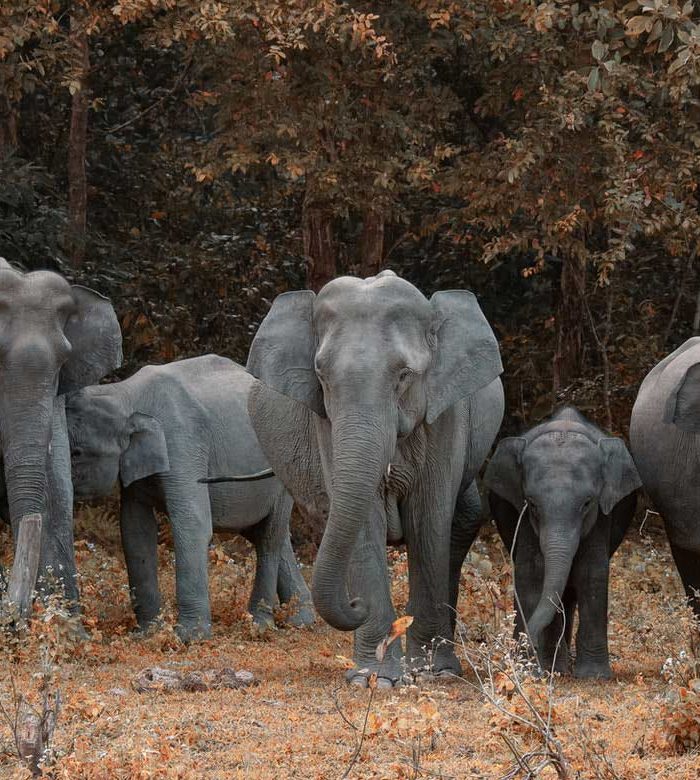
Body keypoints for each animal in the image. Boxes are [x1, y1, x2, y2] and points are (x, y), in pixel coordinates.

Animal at [63, 354, 314, 640]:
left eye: (77, 453)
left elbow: (193, 524)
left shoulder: (182, 441)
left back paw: (260, 624)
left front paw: (189, 637)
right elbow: (135, 529)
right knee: (271, 535)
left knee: (268, 537)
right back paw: (300, 621)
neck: (126, 392)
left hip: (283, 470)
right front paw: (147, 633)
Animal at [234, 272, 504, 684]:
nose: (354, 604)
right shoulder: (326, 425)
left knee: (461, 521)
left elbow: (429, 522)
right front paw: (373, 679)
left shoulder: (445, 416)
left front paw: (433, 675)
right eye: (321, 376)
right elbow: (364, 524)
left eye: (405, 376)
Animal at [482, 406, 640, 680]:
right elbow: (533, 572)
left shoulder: (602, 516)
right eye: (532, 504)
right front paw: (540, 669)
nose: (524, 648)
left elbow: (591, 573)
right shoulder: (525, 521)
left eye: (587, 503)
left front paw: (593, 676)